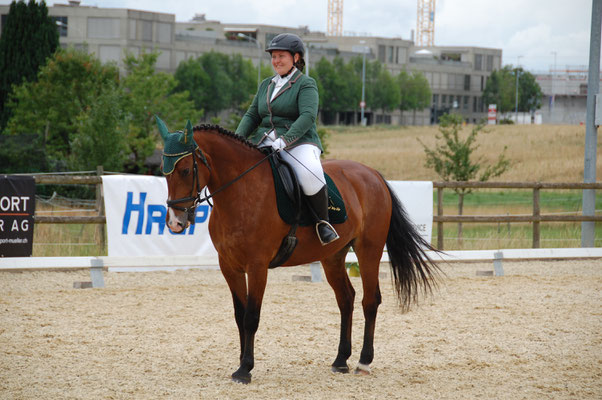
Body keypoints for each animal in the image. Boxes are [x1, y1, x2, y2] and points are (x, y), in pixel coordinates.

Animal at [159, 121, 438, 384]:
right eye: (164, 172)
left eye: (185, 170)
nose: (175, 222)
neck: (241, 191)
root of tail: (372, 174)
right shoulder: (229, 266)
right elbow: (239, 315)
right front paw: (240, 362)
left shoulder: (257, 266)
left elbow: (251, 316)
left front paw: (245, 369)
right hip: (332, 256)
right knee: (346, 299)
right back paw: (341, 360)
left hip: (368, 250)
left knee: (370, 301)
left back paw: (363, 362)